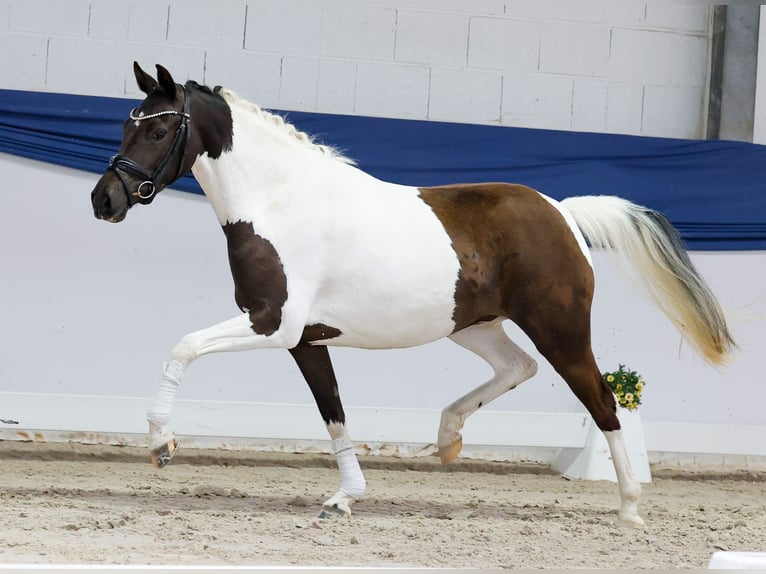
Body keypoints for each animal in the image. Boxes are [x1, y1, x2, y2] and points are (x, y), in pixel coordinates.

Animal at [90, 63, 735, 527]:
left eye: (157, 128)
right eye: (125, 124)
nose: (104, 200)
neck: (279, 203)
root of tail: (565, 214)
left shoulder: (271, 323)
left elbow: (183, 346)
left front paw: (162, 444)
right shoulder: (304, 340)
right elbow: (333, 413)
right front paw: (344, 498)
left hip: (562, 330)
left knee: (603, 400)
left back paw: (628, 507)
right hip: (476, 326)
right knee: (517, 367)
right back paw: (448, 438)